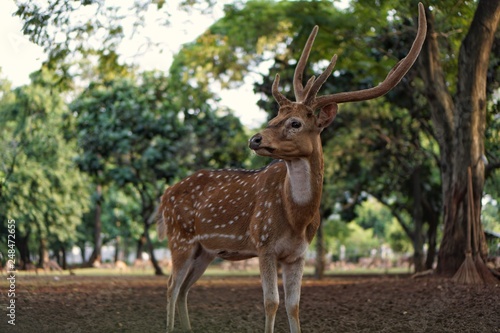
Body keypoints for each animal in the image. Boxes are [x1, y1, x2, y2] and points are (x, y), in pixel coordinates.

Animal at [157, 3, 426, 332]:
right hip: (179, 237)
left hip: (204, 250)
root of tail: (165, 195)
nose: (255, 139)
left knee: (183, 288)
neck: (297, 218)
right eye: (274, 117)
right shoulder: (264, 244)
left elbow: (294, 305)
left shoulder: (298, 254)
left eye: (295, 123)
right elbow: (271, 303)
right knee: (171, 285)